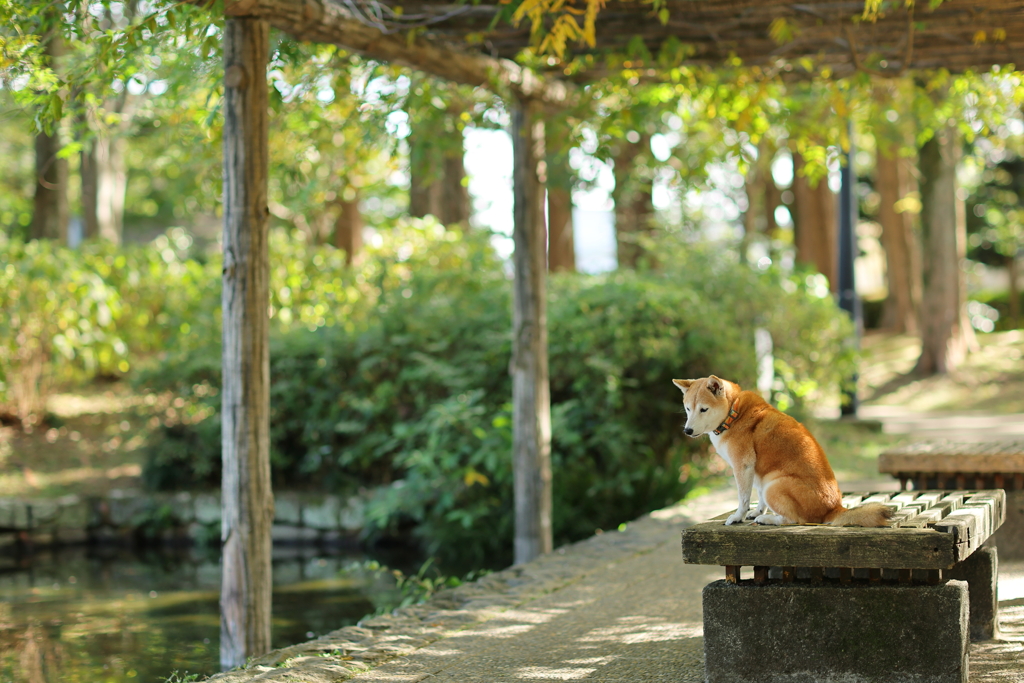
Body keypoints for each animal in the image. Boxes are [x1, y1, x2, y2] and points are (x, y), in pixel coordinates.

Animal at [667, 376, 892, 528]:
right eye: (688, 408)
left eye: (703, 409)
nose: (687, 430)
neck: (734, 413)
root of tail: (833, 509)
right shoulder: (758, 472)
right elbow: (757, 497)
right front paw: (755, 511)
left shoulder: (743, 465)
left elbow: (743, 498)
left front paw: (738, 516)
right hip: (769, 480)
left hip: (774, 485)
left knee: (794, 520)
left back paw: (768, 519)